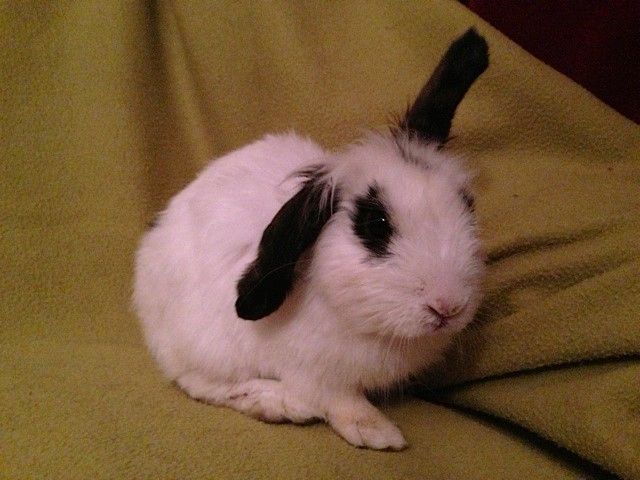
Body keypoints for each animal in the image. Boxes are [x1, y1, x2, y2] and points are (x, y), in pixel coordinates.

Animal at [132, 29, 488, 450]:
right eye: (376, 224)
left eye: (467, 205)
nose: (447, 306)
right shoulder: (314, 372)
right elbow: (339, 399)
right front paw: (377, 433)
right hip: (204, 343)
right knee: (198, 382)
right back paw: (278, 403)